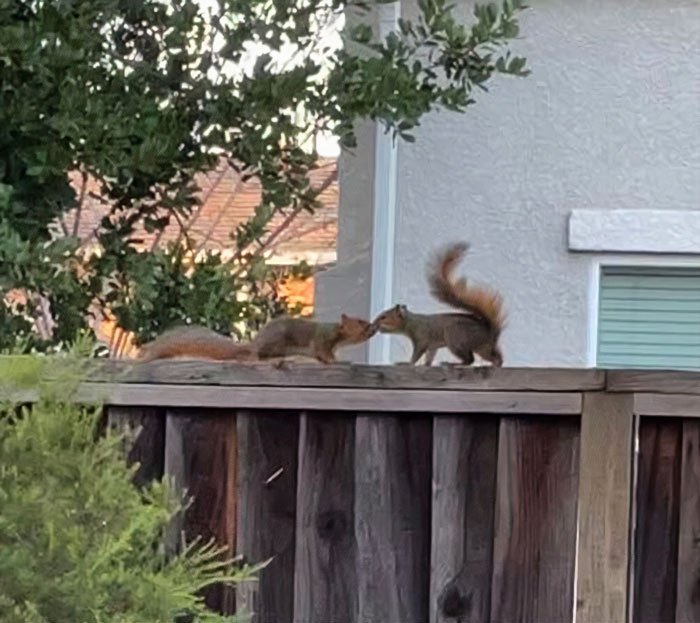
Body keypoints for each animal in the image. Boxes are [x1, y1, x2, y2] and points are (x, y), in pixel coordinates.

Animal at [374, 240, 506, 366]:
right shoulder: (432, 346)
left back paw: (453, 364)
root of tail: (489, 332)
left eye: (383, 317)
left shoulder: (422, 338)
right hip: (481, 347)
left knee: (469, 359)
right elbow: (430, 355)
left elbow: (417, 354)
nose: (374, 324)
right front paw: (426, 364)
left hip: (455, 337)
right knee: (495, 357)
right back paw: (495, 364)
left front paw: (407, 363)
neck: (412, 322)